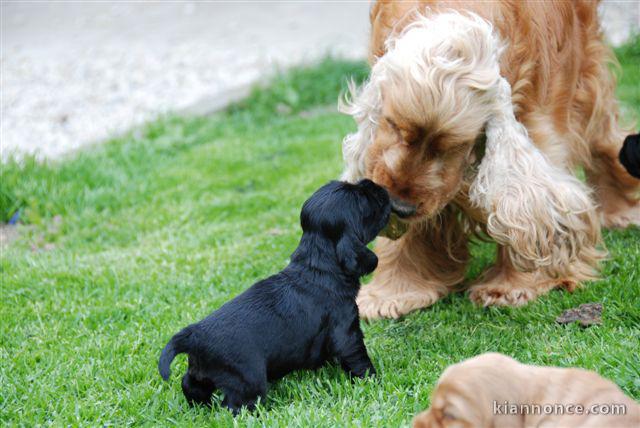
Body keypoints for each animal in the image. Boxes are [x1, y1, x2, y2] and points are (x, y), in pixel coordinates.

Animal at [160, 180, 390, 414]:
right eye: (362, 198)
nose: (373, 184)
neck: (317, 264)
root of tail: (194, 335)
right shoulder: (346, 331)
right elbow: (358, 360)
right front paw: (373, 381)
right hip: (248, 380)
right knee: (234, 406)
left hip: (201, 373)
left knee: (190, 385)